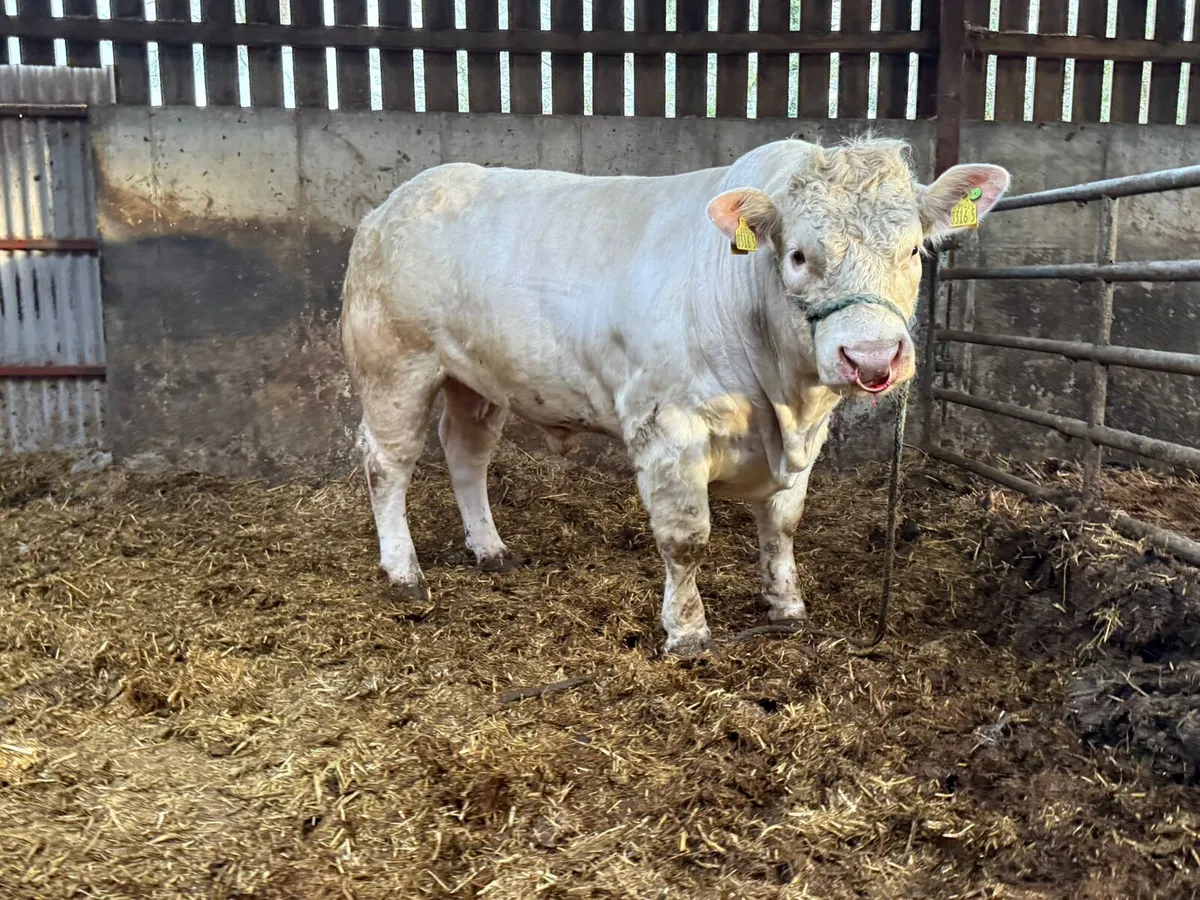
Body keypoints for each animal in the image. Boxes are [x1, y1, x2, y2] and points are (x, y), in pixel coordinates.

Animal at [340, 135, 1010, 655]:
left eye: (913, 250)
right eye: (798, 255)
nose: (872, 358)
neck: (783, 403)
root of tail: (394, 203)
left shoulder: (806, 441)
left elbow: (784, 523)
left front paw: (786, 607)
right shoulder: (667, 428)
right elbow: (685, 540)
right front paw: (687, 633)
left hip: (474, 379)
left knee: (466, 454)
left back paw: (489, 548)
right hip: (394, 365)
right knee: (386, 464)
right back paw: (403, 570)